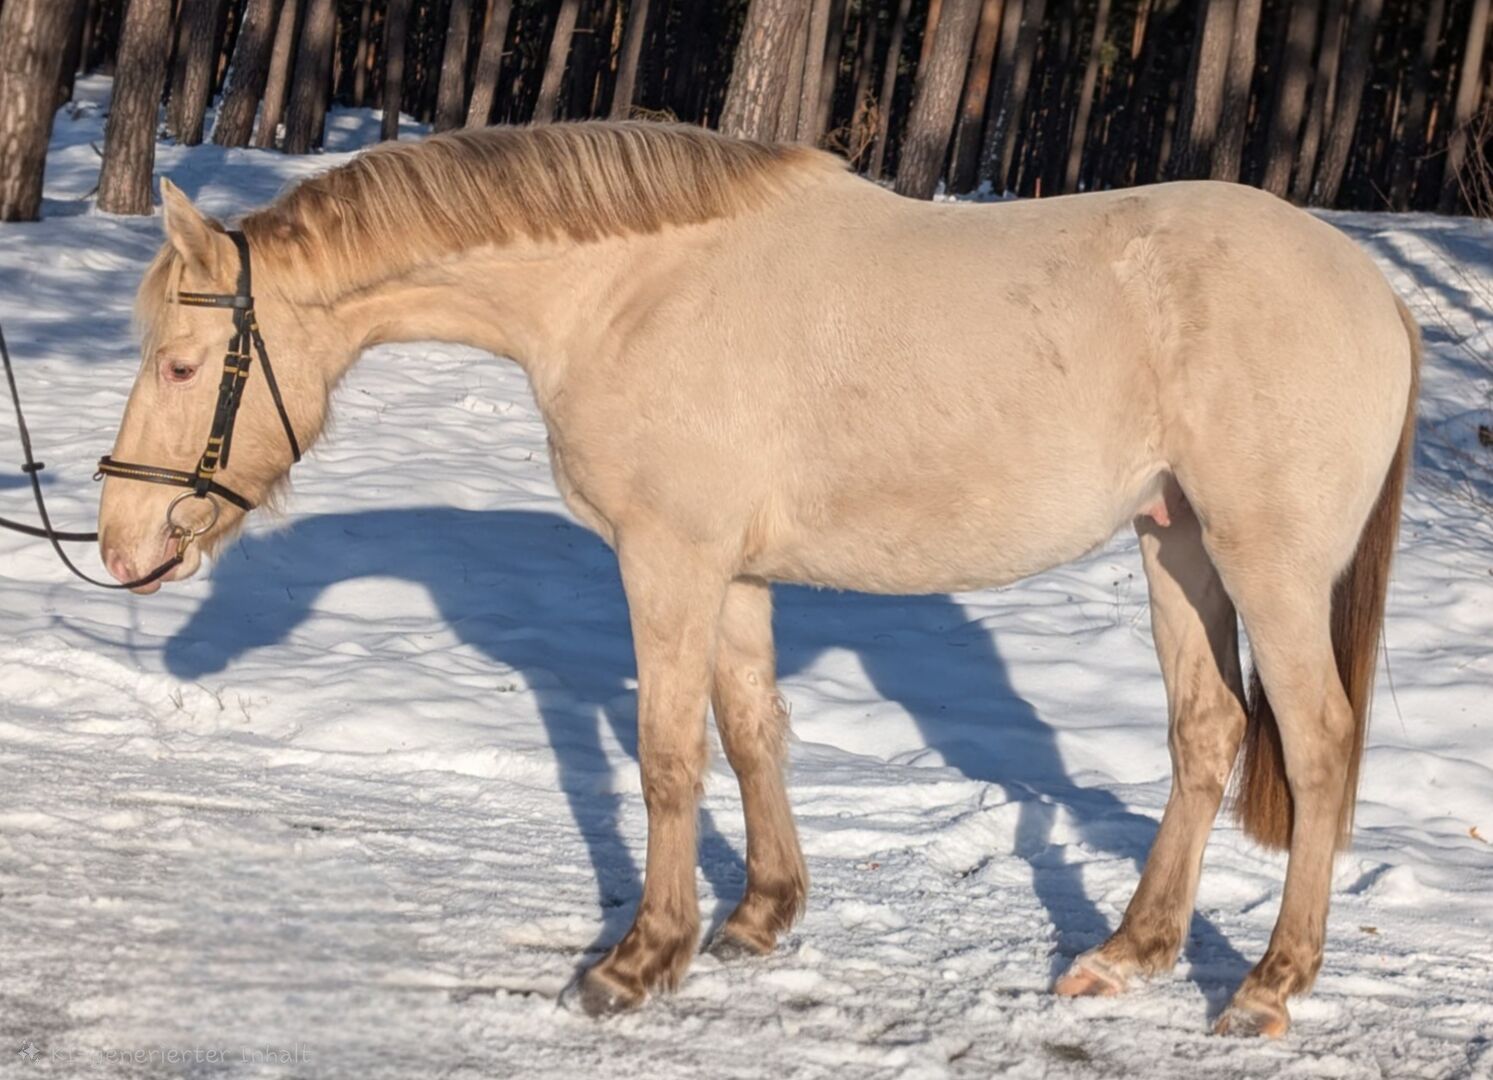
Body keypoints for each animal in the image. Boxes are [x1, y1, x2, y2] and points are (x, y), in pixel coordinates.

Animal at [97, 121, 1419, 1037]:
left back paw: (1266, 986)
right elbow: (747, 729)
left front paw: (637, 963)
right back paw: (1127, 953)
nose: (118, 543)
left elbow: (667, 753)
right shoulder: (726, 573)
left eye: (181, 363)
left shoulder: (666, 559)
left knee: (1314, 743)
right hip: (1174, 545)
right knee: (1206, 732)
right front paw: (757, 917)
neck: (627, 293)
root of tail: (1376, 293)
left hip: (1264, 565)